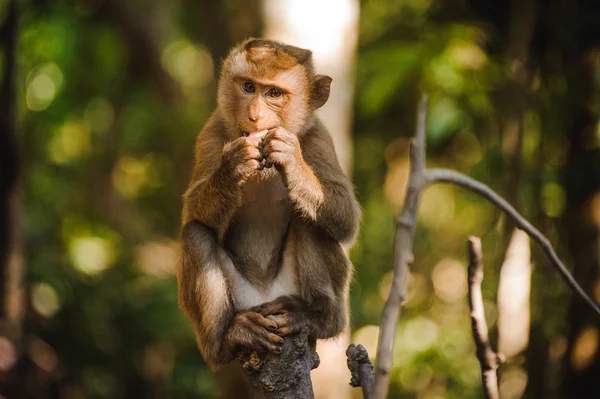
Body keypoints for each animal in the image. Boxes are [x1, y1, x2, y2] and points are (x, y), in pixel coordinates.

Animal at [176, 39, 358, 374]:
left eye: (274, 93)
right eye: (249, 87)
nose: (255, 116)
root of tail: (264, 296)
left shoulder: (318, 138)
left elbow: (346, 217)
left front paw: (291, 161)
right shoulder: (212, 131)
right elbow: (193, 211)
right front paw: (234, 165)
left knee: (311, 220)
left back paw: (315, 317)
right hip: (241, 301)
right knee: (195, 233)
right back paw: (227, 338)